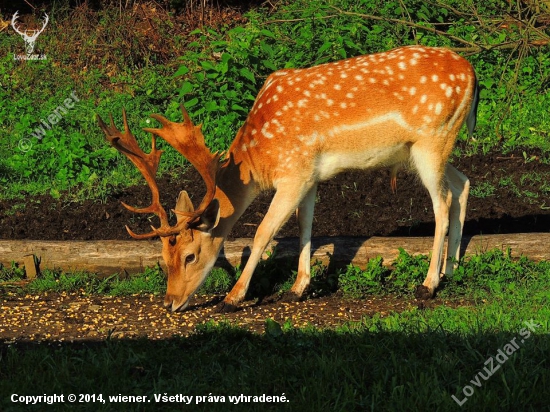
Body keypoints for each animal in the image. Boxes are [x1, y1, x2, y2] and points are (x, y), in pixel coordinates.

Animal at [98, 45, 478, 312]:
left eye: (190, 255)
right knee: (462, 183)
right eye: (164, 257)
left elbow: (264, 232)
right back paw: (453, 268)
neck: (259, 158)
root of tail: (472, 74)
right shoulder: (309, 174)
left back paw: (428, 284)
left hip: (431, 139)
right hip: (432, 147)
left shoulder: (294, 171)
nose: (170, 302)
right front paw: (299, 288)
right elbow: (304, 223)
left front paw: (233, 297)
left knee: (442, 202)